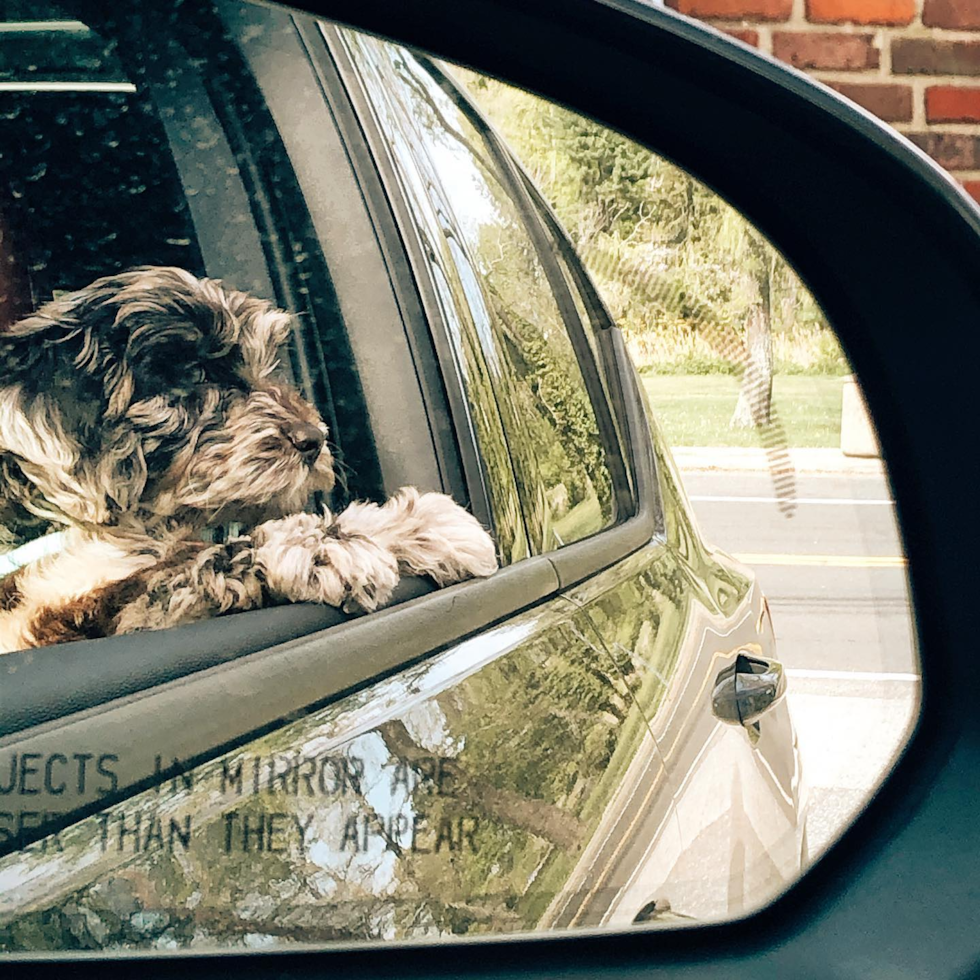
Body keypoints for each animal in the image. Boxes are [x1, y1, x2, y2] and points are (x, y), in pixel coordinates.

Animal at [0, 266, 494, 660]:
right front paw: (318, 545)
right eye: (195, 373)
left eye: (266, 362)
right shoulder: (46, 622)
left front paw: (421, 525)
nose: (314, 439)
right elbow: (182, 565)